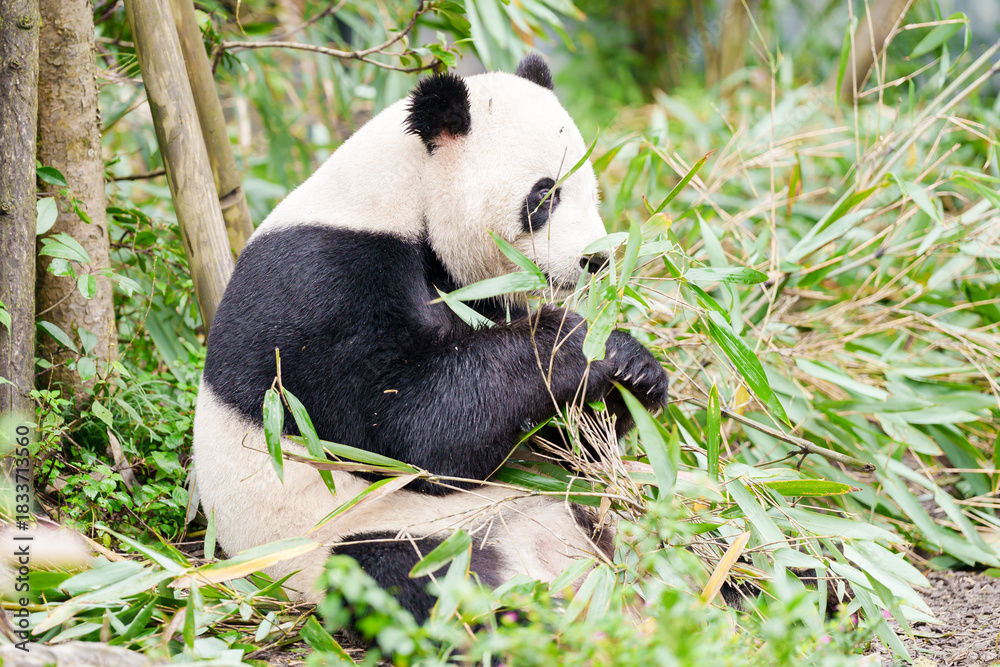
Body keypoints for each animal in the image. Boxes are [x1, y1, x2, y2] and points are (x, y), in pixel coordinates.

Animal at [193, 54, 670, 622]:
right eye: (545, 194)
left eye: (592, 190)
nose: (596, 259)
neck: (400, 194)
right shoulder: (322, 287)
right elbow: (411, 432)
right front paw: (570, 341)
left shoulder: (473, 292)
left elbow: (551, 442)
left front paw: (634, 369)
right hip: (363, 533)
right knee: (412, 574)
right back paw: (521, 616)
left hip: (589, 518)